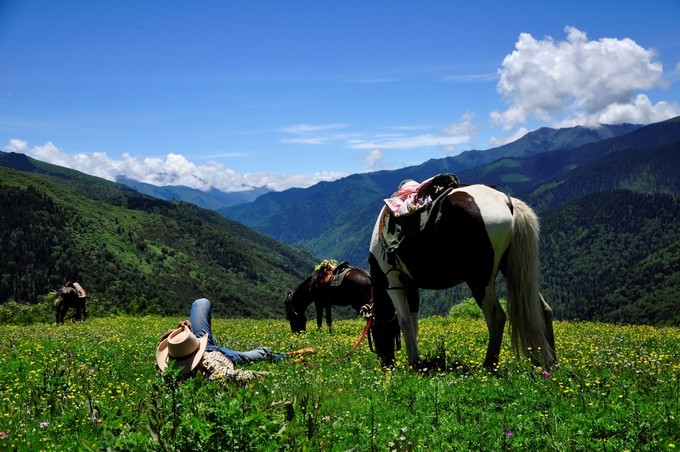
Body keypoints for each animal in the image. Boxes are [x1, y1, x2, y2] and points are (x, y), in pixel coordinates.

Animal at [370, 184, 556, 370]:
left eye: (376, 332)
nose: (385, 364)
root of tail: (506, 201)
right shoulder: (411, 286)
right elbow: (414, 322)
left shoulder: (393, 283)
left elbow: (405, 321)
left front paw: (414, 363)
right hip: (510, 267)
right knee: (544, 309)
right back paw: (551, 362)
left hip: (479, 280)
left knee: (497, 316)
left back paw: (489, 365)